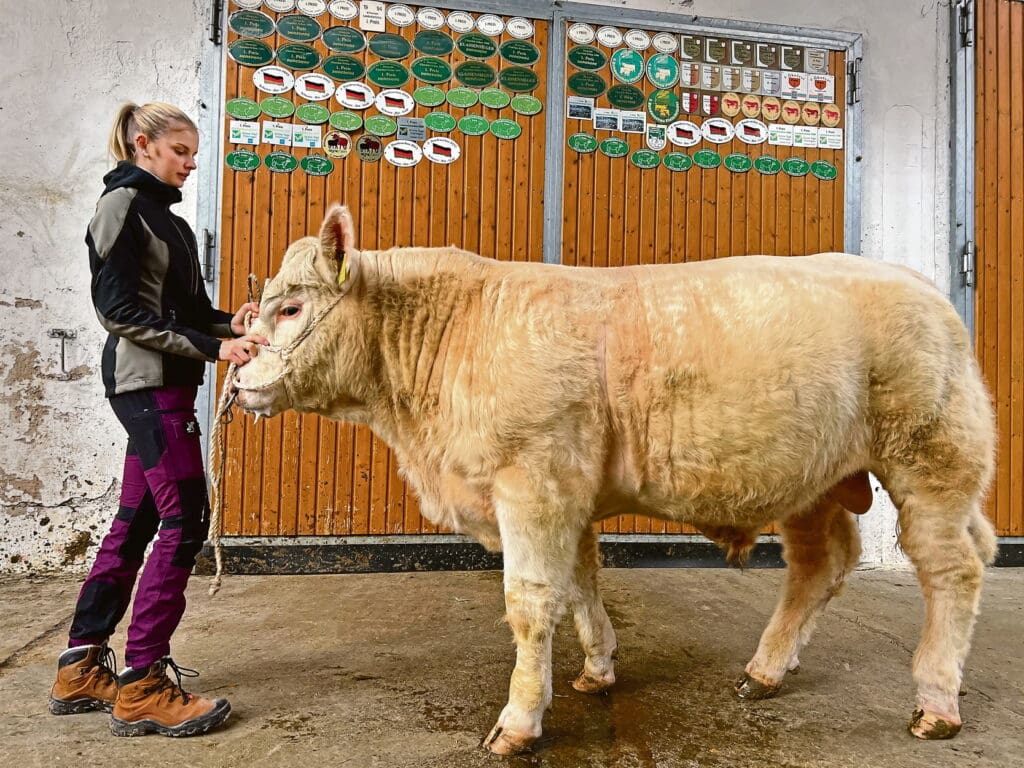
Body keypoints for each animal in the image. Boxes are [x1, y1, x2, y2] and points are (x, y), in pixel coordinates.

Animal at [234, 202, 991, 753]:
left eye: (291, 308)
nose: (238, 376)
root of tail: (920, 286)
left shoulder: (533, 481)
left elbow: (531, 601)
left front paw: (518, 722)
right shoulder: (568, 494)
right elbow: (579, 584)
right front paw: (597, 670)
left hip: (933, 459)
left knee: (951, 569)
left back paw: (935, 701)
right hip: (815, 479)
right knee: (821, 565)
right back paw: (765, 672)